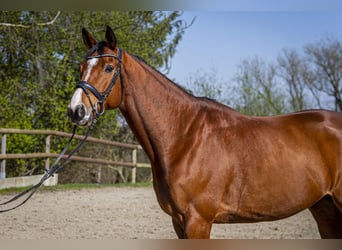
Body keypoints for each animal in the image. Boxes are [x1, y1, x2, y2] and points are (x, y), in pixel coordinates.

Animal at [67, 26, 342, 239]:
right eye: (81, 67)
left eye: (108, 68)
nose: (76, 110)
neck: (184, 136)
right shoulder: (178, 222)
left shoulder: (197, 221)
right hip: (325, 208)